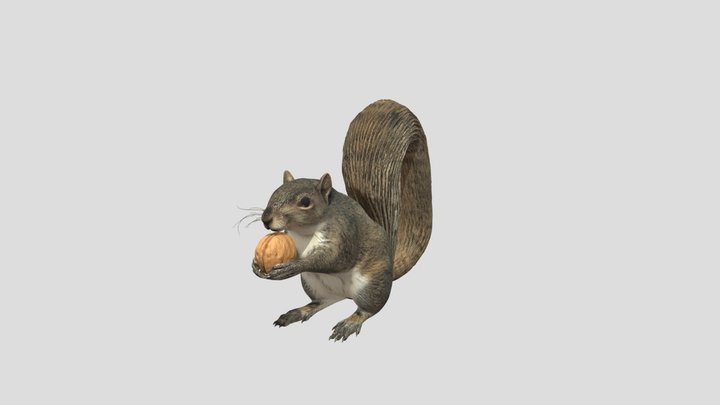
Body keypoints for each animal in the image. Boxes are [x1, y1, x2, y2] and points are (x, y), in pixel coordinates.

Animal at [251, 99, 432, 341]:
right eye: (274, 192)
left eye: (305, 201)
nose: (266, 220)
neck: (305, 231)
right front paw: (256, 266)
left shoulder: (345, 231)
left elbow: (335, 258)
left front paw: (293, 266)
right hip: (313, 284)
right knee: (323, 302)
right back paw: (298, 312)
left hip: (370, 285)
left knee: (368, 309)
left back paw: (350, 322)